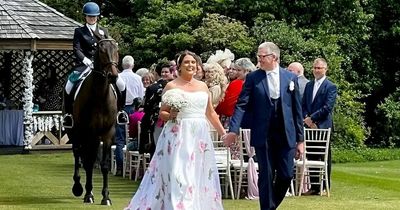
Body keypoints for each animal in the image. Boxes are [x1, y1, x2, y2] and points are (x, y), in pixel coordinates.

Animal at [67, 39, 119, 205]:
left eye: (117, 50)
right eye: (101, 51)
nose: (113, 76)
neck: (100, 95)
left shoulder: (107, 133)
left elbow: (104, 165)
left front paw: (106, 197)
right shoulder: (89, 132)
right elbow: (89, 162)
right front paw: (88, 194)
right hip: (75, 131)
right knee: (77, 153)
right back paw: (78, 187)